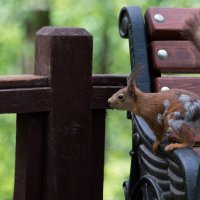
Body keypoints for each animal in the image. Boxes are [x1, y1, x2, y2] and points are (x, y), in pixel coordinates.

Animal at [108, 14, 200, 153]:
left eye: (121, 96)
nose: (109, 101)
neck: (141, 102)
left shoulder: (153, 118)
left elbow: (159, 134)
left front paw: (156, 143)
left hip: (176, 118)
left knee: (190, 141)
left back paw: (177, 144)